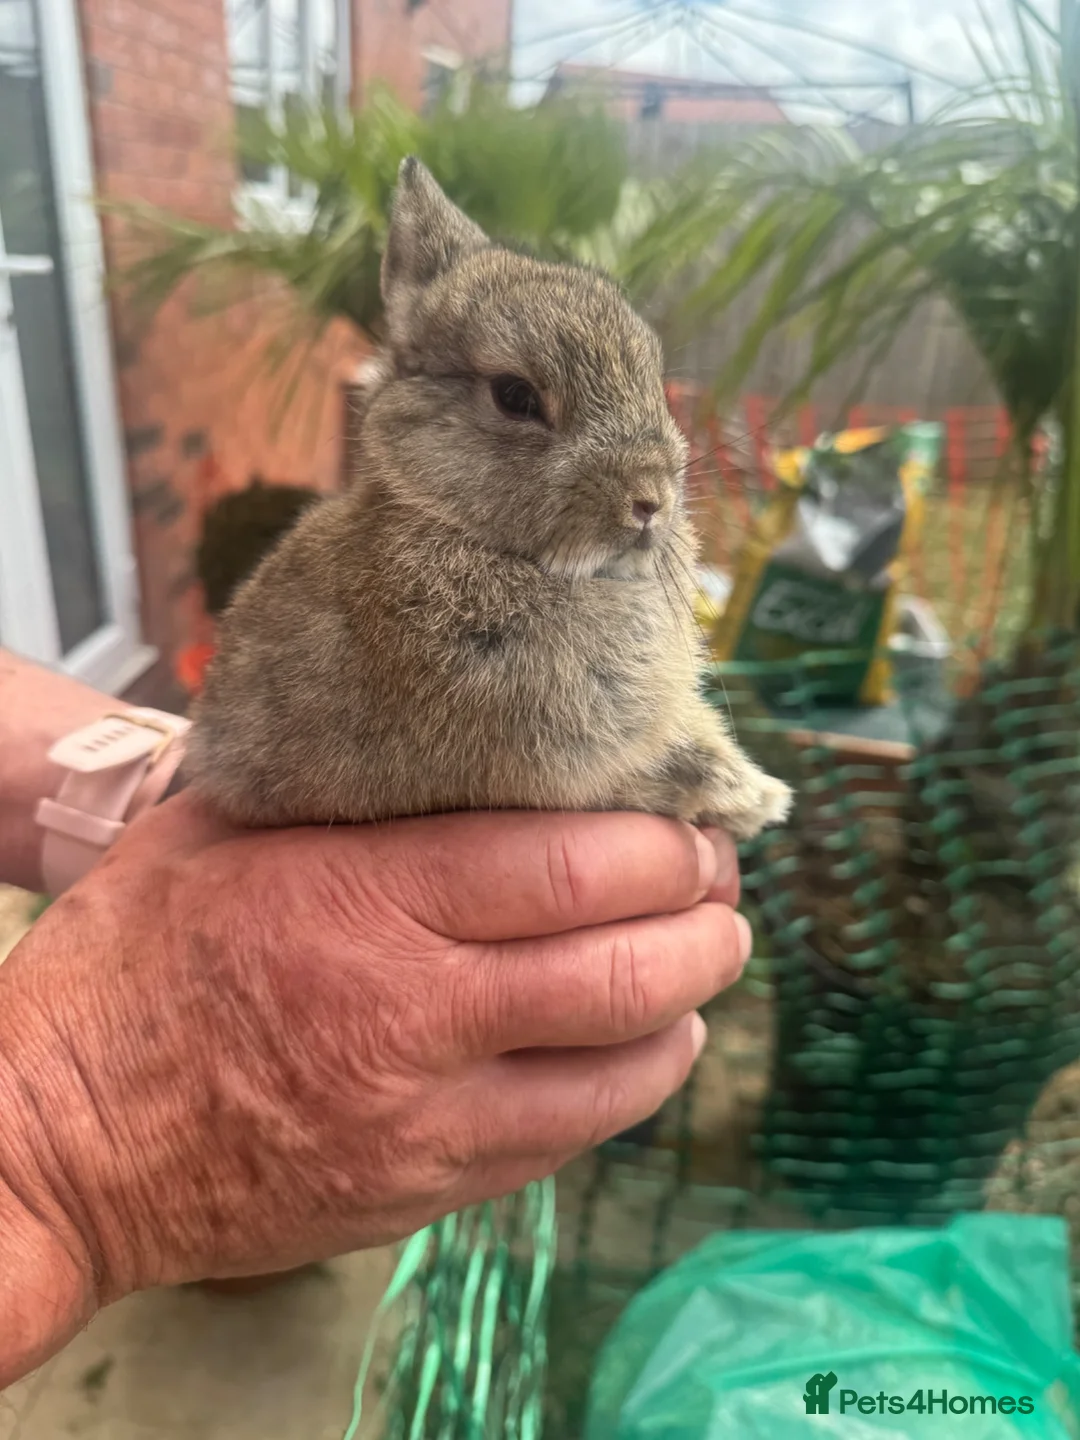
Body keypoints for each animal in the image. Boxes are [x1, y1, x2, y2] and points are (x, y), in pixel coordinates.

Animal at [184, 157, 793, 841]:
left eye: (655, 381)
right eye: (515, 396)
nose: (650, 500)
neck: (452, 523)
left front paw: (756, 793)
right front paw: (753, 797)